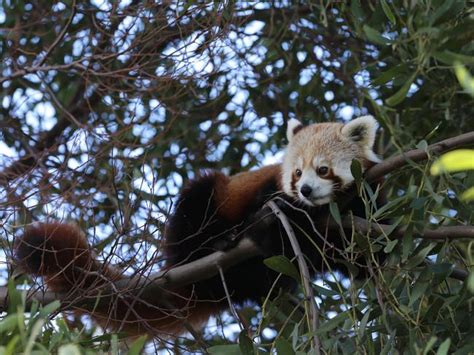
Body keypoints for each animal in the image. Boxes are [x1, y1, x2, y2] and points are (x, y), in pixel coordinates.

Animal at [12, 117, 384, 340]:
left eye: (322, 170)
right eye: (295, 173)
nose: (305, 190)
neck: (323, 211)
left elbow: (358, 252)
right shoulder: (267, 190)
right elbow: (267, 217)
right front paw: (271, 223)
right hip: (202, 206)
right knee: (198, 201)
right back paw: (212, 246)